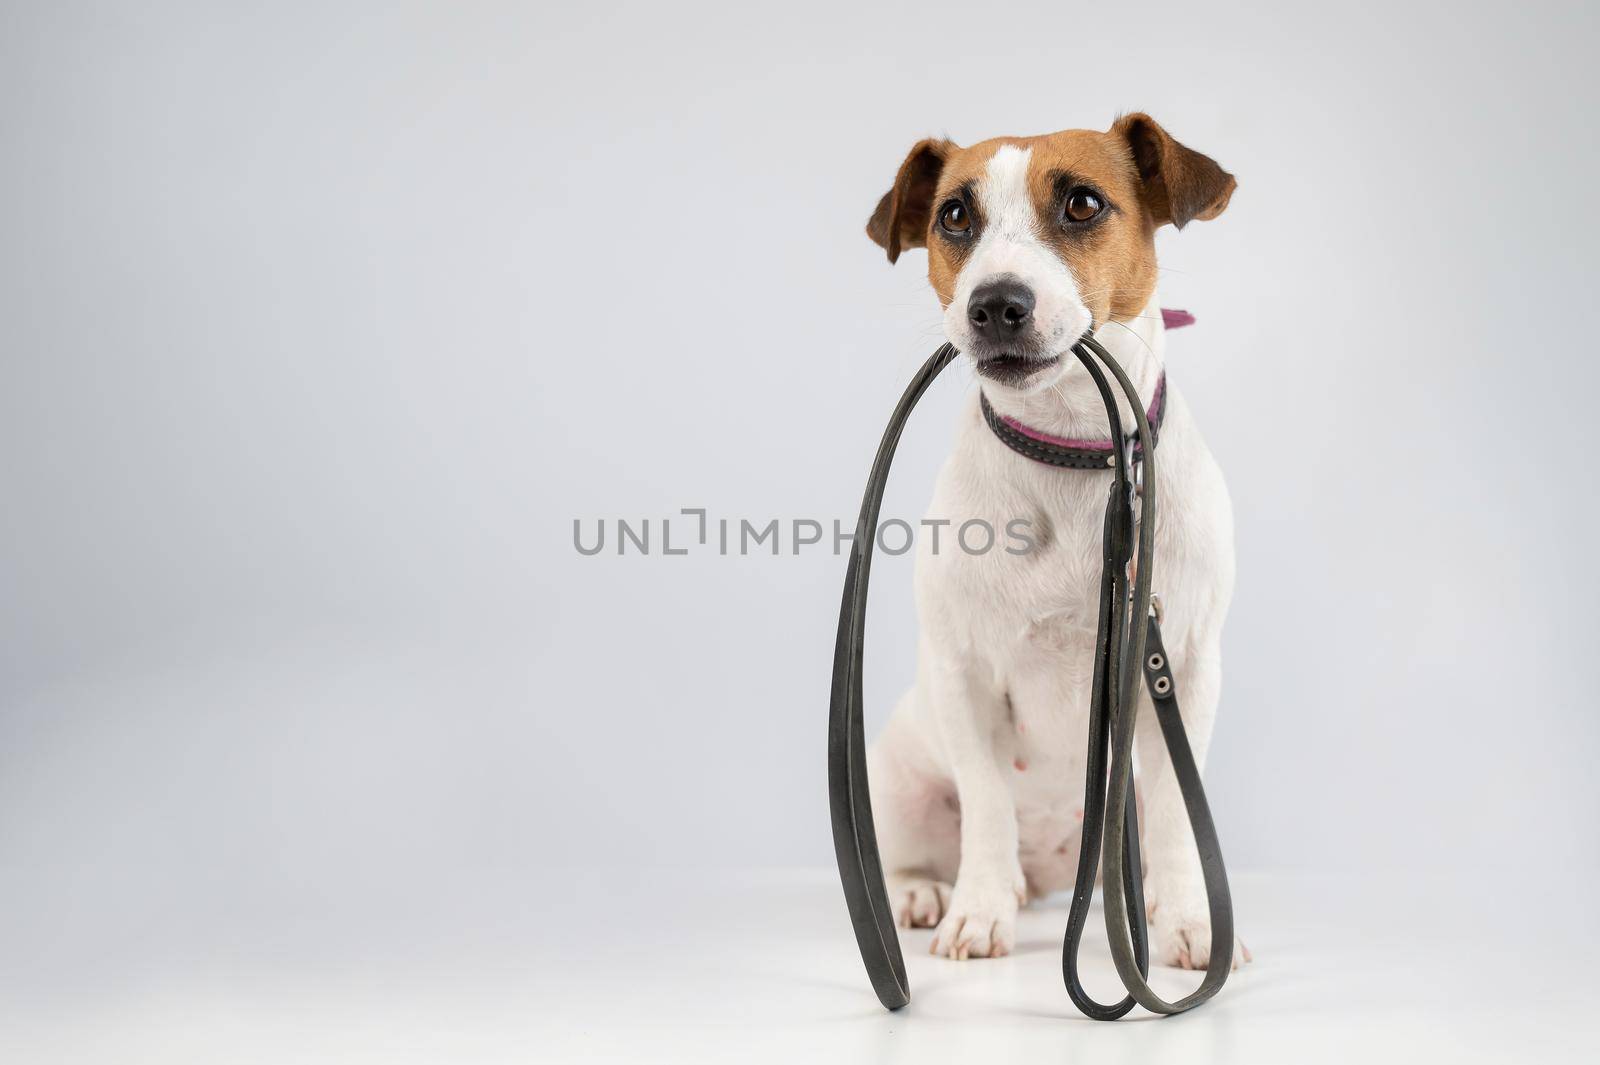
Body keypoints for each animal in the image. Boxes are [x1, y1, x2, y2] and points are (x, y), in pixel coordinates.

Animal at [864, 111, 1248, 965]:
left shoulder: (1186, 668)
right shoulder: (965, 674)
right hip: (895, 774)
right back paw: (922, 892)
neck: (1076, 451)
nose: (994, 303)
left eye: (1082, 203)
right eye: (954, 216)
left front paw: (1191, 919)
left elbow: (1177, 817)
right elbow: (985, 803)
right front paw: (977, 911)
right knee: (925, 842)